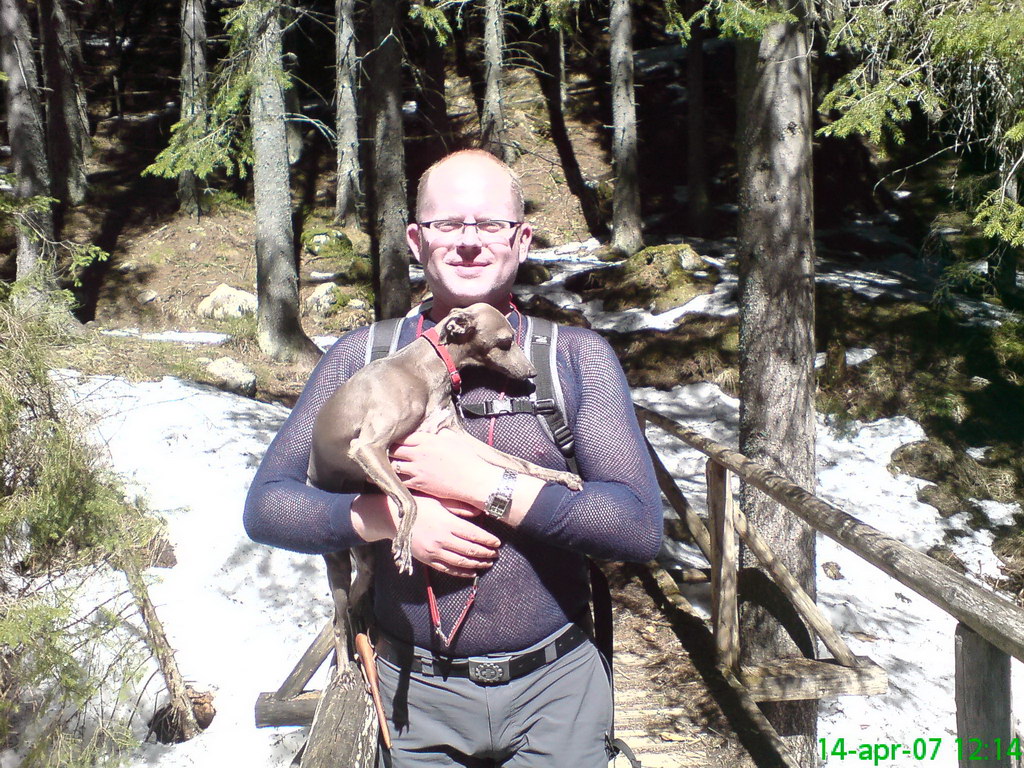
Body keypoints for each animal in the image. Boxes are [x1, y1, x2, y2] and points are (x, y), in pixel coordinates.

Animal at [309, 303, 585, 577]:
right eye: (506, 342)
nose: (533, 372)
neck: (423, 368)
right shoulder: (367, 447)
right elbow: (410, 500)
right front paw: (404, 543)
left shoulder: (457, 436)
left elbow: (518, 463)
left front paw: (562, 476)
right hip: (337, 556)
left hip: (362, 561)